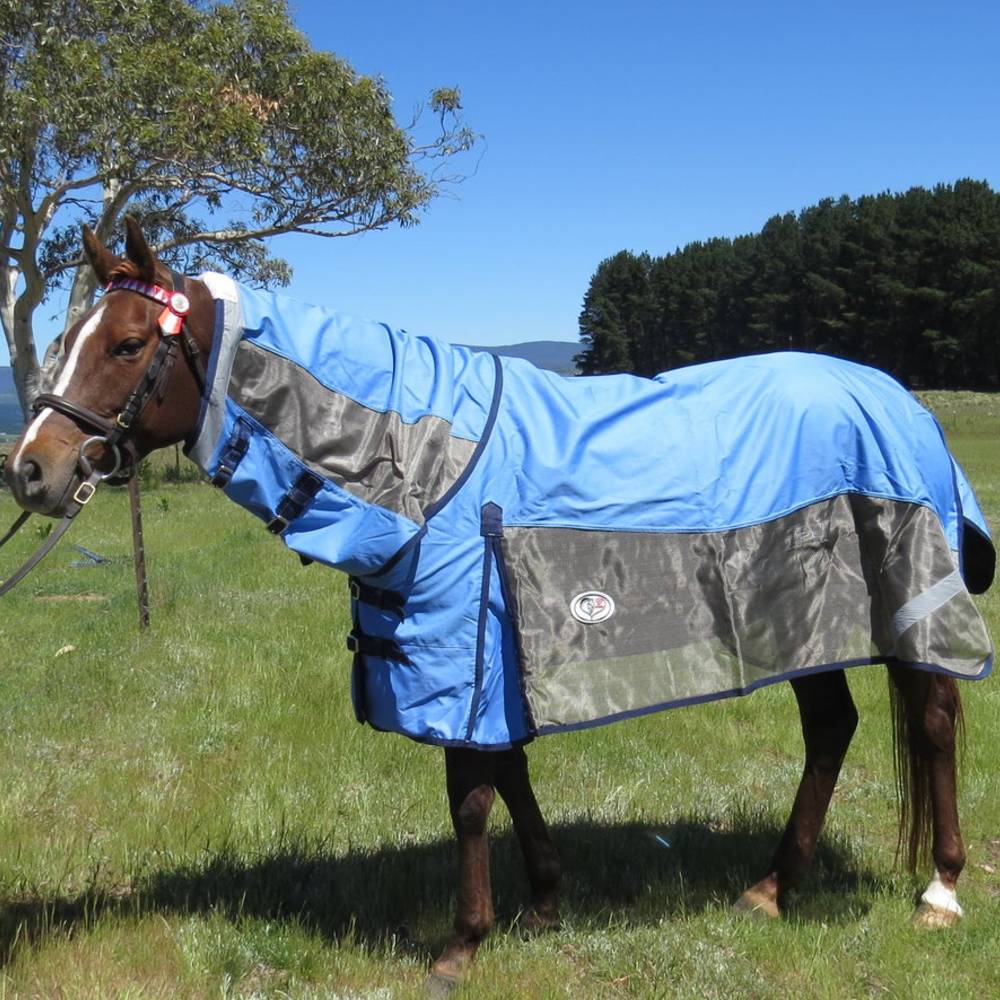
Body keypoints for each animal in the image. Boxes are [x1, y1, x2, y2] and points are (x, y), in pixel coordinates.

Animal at [3, 219, 995, 994]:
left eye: (128, 344)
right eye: (70, 337)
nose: (33, 471)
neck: (421, 460)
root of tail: (897, 399)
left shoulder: (464, 646)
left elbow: (472, 793)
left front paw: (461, 945)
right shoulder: (480, 656)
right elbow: (508, 772)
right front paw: (546, 901)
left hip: (906, 608)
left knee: (934, 721)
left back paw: (940, 891)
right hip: (802, 626)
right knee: (832, 728)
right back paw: (770, 889)